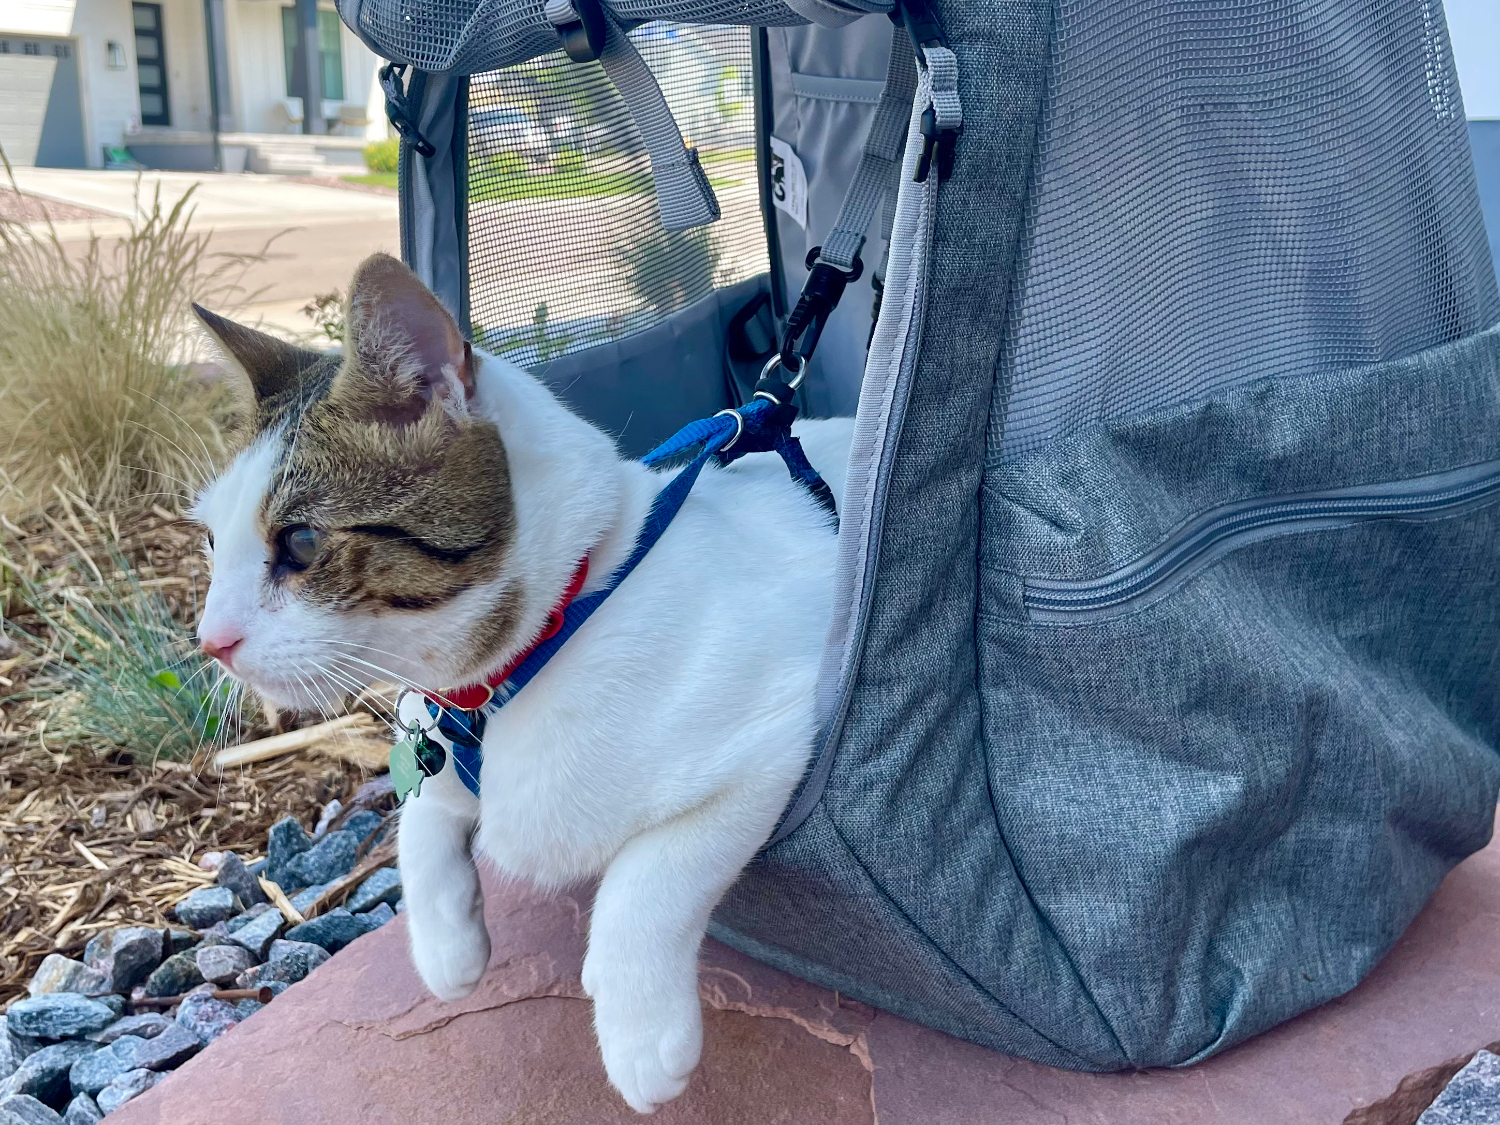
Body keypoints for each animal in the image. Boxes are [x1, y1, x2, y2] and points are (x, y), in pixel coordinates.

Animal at [189, 253, 858, 1110]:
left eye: (300, 541)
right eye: (212, 541)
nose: (211, 640)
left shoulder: (776, 734)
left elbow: (648, 877)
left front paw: (642, 1033)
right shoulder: (434, 735)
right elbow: (420, 819)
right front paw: (448, 943)